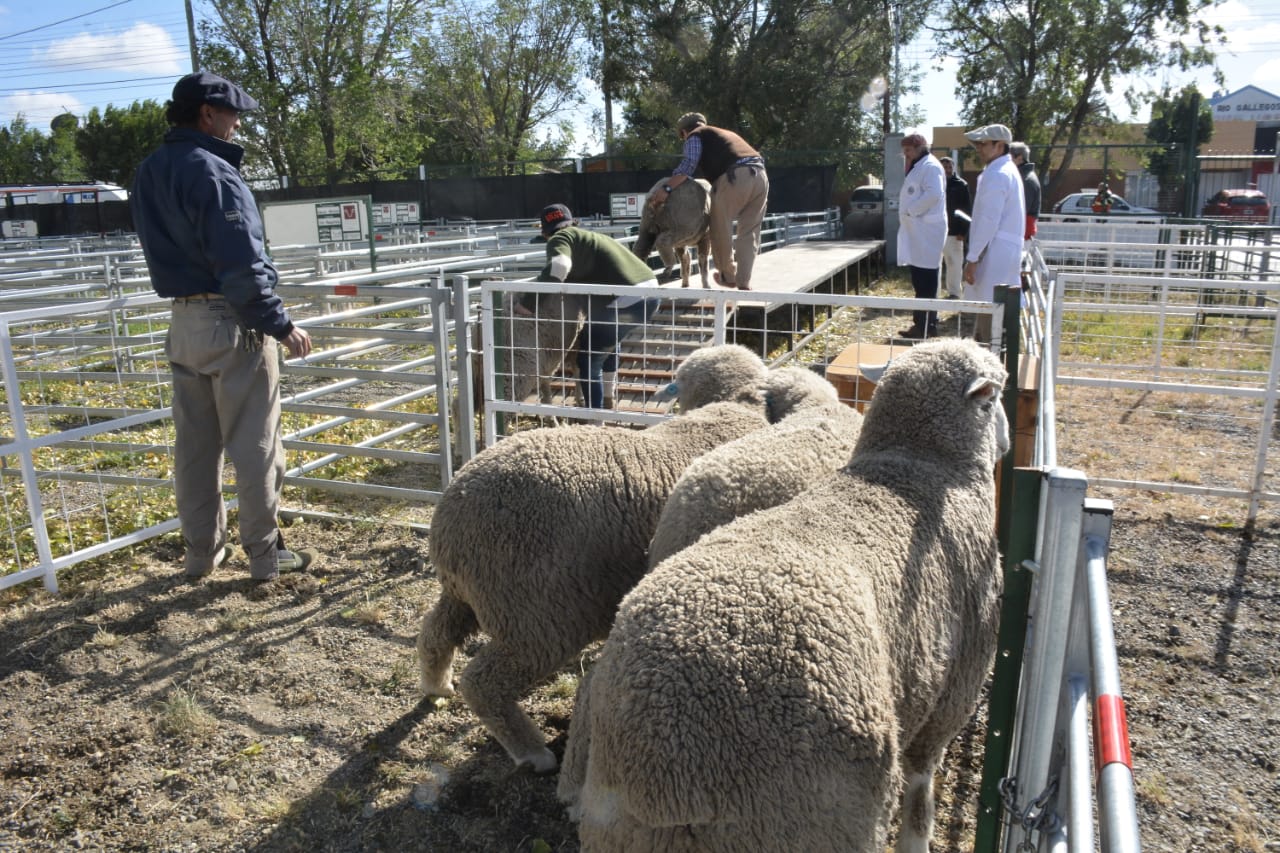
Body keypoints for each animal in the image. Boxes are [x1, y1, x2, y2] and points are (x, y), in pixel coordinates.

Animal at [419, 343, 773, 768]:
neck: (728, 407)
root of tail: (448, 520)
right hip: (536, 615)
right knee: (484, 681)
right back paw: (533, 752)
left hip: (471, 595)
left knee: (434, 633)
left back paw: (436, 686)